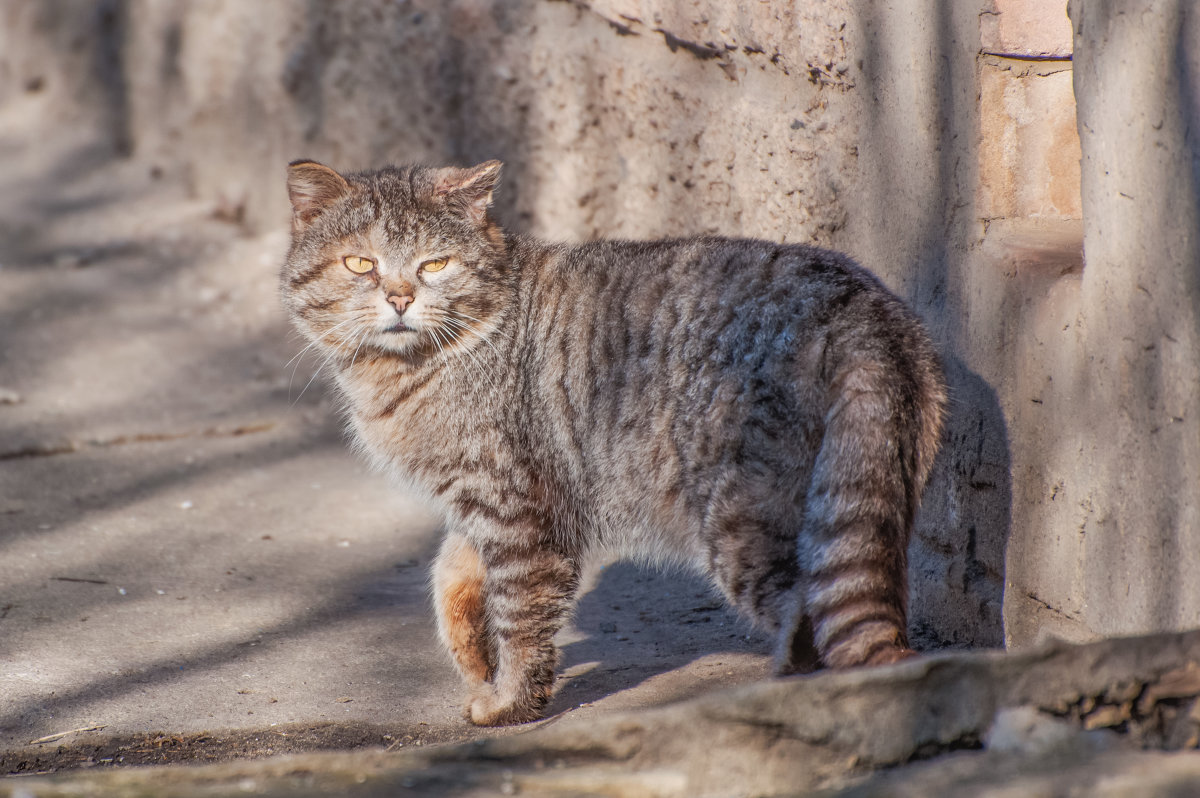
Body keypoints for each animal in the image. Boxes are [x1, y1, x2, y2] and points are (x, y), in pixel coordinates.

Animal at [280, 158, 945, 724]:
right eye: (360, 265)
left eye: (435, 265)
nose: (399, 297)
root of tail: (861, 307)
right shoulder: (479, 503)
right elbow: (452, 580)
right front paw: (474, 663)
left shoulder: (519, 510)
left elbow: (520, 614)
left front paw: (512, 702)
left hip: (742, 515)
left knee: (806, 613)